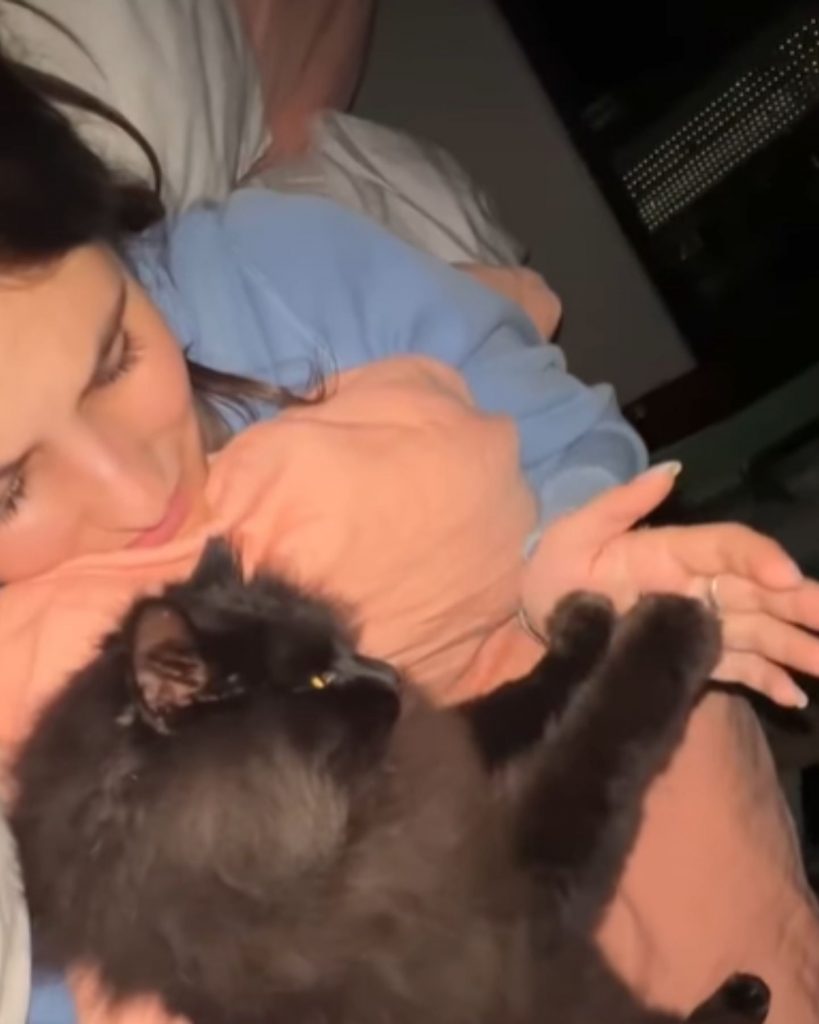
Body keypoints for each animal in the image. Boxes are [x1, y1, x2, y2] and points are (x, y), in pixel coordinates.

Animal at [11, 540, 769, 1019]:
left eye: (349, 651)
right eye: (319, 680)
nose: (391, 675)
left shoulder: (444, 761)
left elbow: (516, 702)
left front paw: (580, 626)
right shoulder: (513, 891)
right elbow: (597, 746)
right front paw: (672, 624)